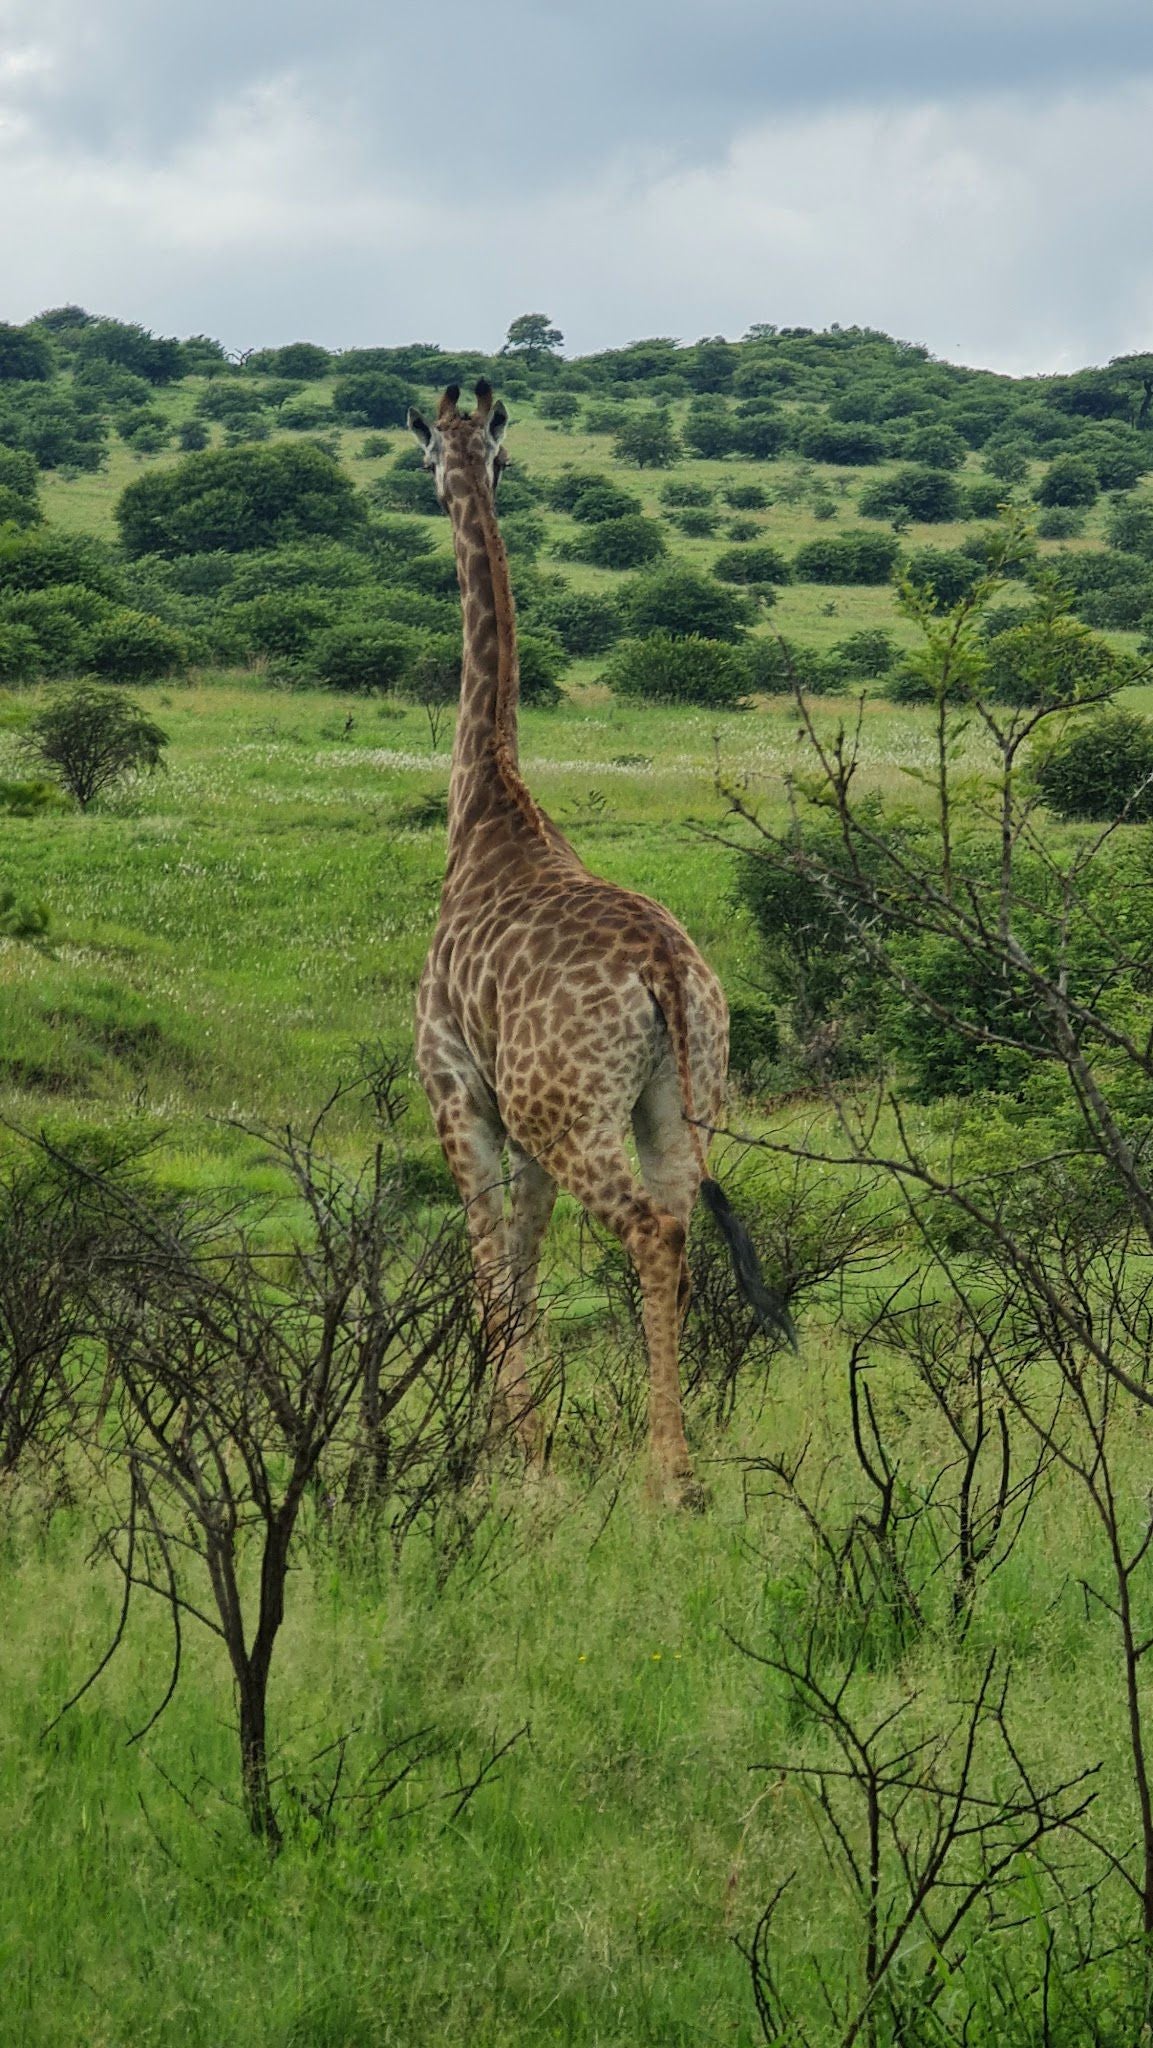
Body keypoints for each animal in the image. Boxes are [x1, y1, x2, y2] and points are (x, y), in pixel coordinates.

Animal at [405, 385, 794, 1507]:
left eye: (430, 457)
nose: (447, 477)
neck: (483, 811)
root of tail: (663, 973)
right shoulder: (523, 1122)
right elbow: (525, 1266)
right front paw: (523, 1442)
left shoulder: (460, 1095)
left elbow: (492, 1265)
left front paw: (517, 1461)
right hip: (679, 1101)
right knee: (683, 1234)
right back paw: (684, 1461)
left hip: (574, 1114)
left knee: (649, 1232)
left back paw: (668, 1475)